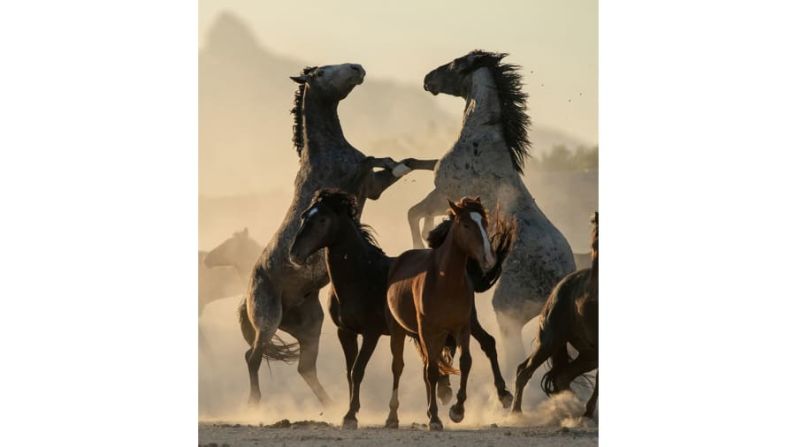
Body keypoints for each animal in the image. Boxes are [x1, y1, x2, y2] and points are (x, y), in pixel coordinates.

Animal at [290, 190, 512, 430]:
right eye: (304, 216)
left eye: (322, 219)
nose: (294, 254)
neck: (361, 274)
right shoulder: (346, 331)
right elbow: (350, 373)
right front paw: (351, 410)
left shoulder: (371, 333)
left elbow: (358, 370)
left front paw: (351, 415)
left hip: (467, 322)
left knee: (488, 343)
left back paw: (503, 395)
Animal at [512, 212, 600, 418]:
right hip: (549, 341)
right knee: (524, 371)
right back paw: (515, 412)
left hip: (588, 353)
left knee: (563, 376)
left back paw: (574, 409)